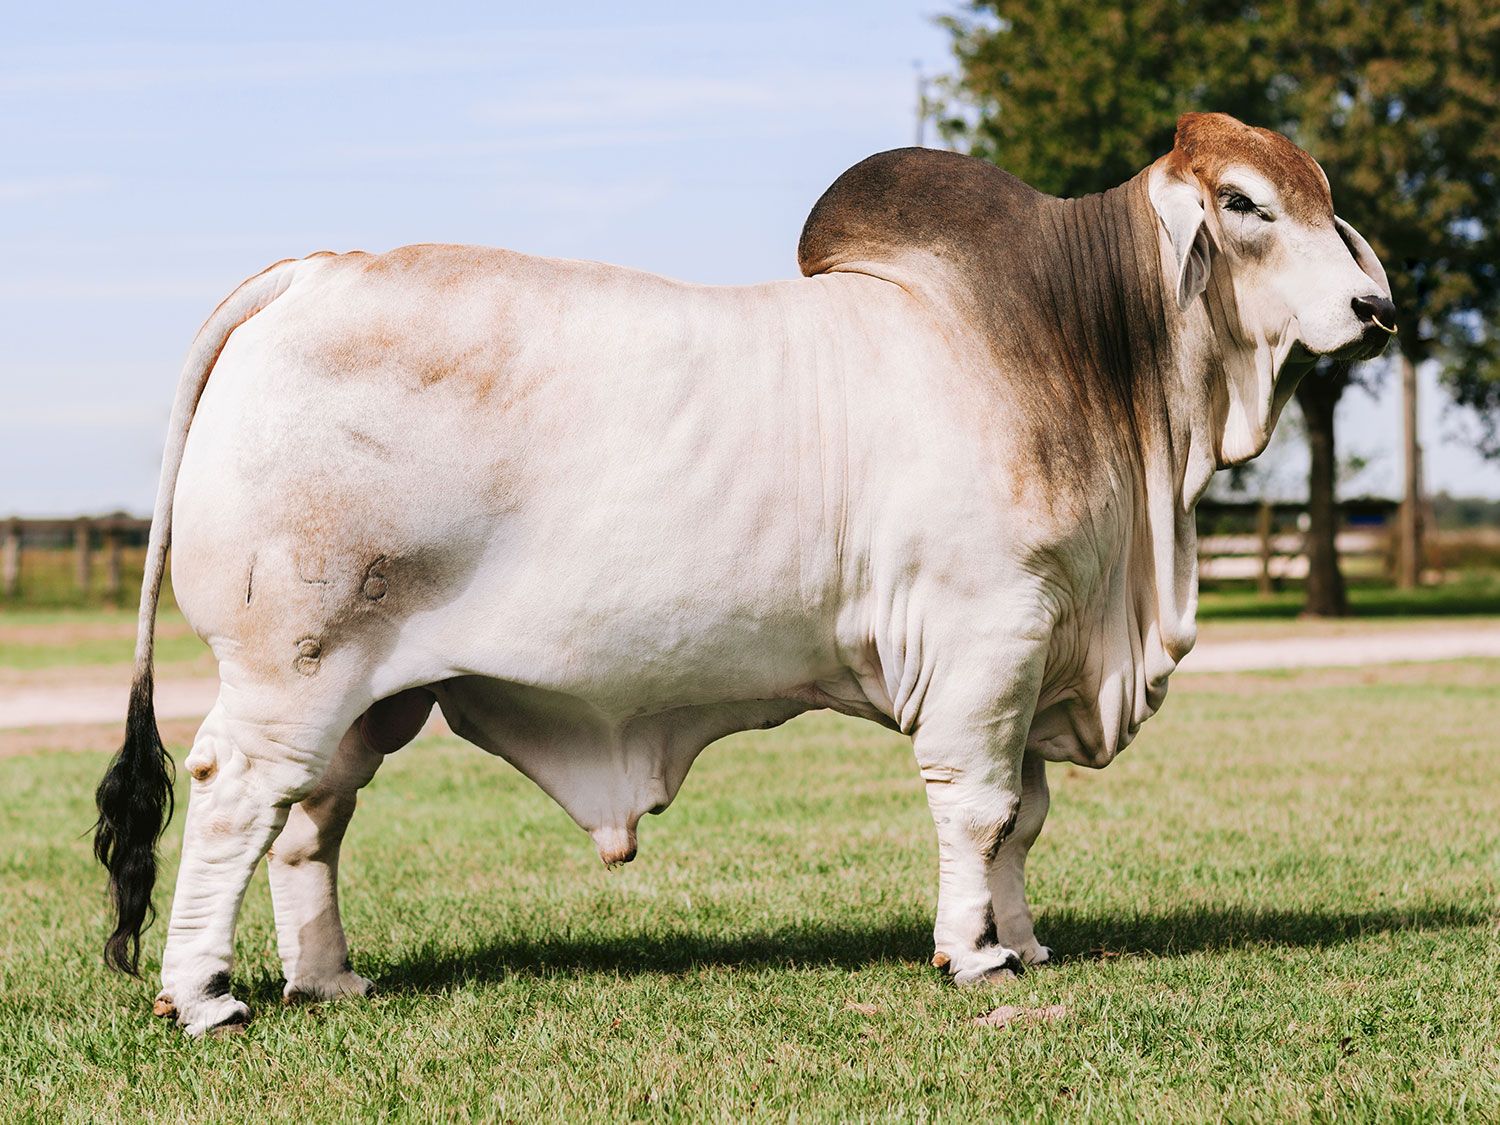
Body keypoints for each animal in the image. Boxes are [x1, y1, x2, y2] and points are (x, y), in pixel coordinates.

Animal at [94, 112, 1394, 1034]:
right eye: (1246, 203)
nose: (1376, 307)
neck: (1080, 352)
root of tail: (313, 271)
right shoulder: (990, 633)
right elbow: (976, 807)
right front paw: (974, 957)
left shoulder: (1035, 646)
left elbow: (1022, 816)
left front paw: (1023, 942)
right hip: (292, 666)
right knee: (233, 798)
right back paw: (205, 997)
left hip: (371, 691)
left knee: (312, 821)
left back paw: (329, 980)